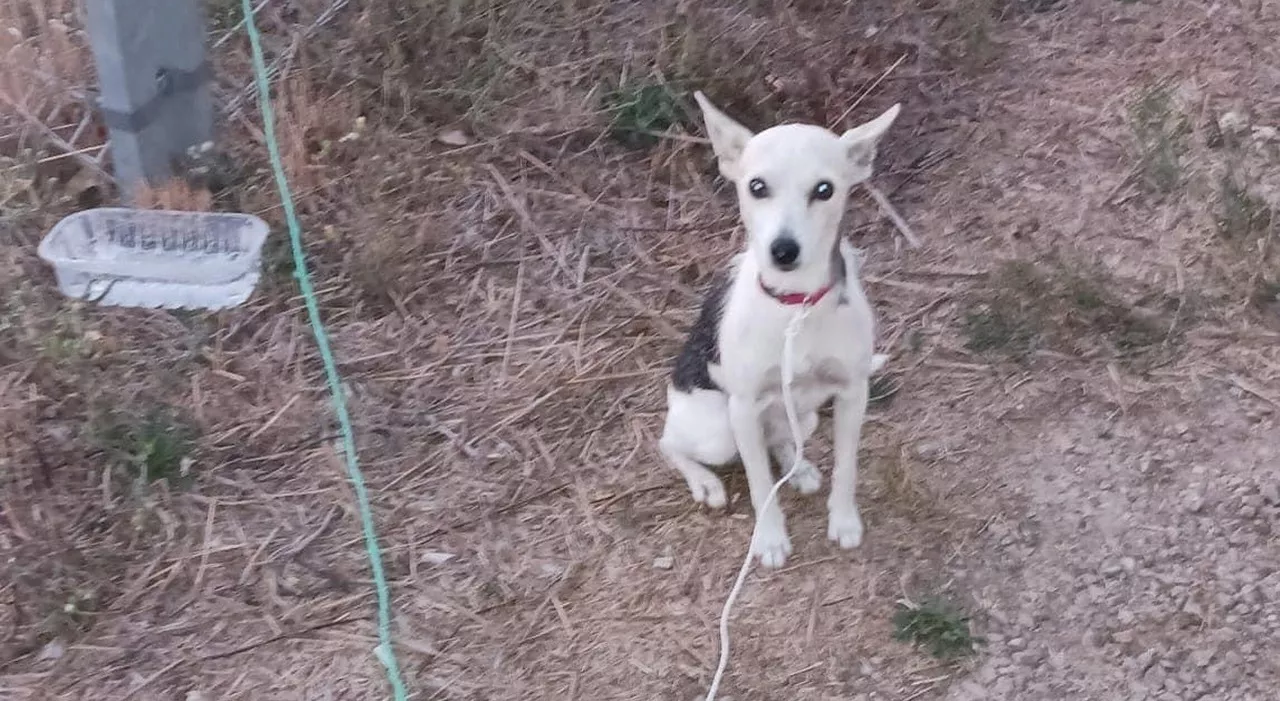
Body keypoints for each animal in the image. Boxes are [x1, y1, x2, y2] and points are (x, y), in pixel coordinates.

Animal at [660, 90, 901, 567]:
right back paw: (704, 481)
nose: (783, 250)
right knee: (668, 443)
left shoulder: (852, 395)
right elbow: (758, 487)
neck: (796, 307)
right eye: (757, 186)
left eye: (824, 189)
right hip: (717, 431)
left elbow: (847, 468)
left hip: (804, 416)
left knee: (781, 439)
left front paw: (843, 520)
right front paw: (769, 538)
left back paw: (798, 465)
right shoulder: (742, 408)